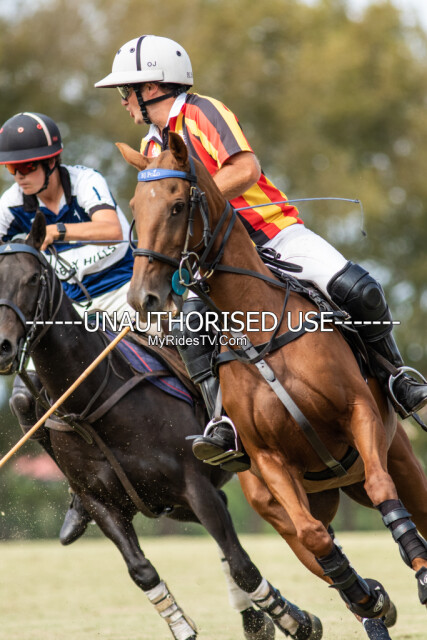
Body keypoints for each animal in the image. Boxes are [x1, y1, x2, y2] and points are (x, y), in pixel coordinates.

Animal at [0, 213, 323, 640]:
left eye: (34, 277)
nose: (2, 346)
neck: (92, 404)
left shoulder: (194, 486)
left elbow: (242, 565)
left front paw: (296, 620)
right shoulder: (102, 503)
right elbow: (143, 571)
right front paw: (184, 625)